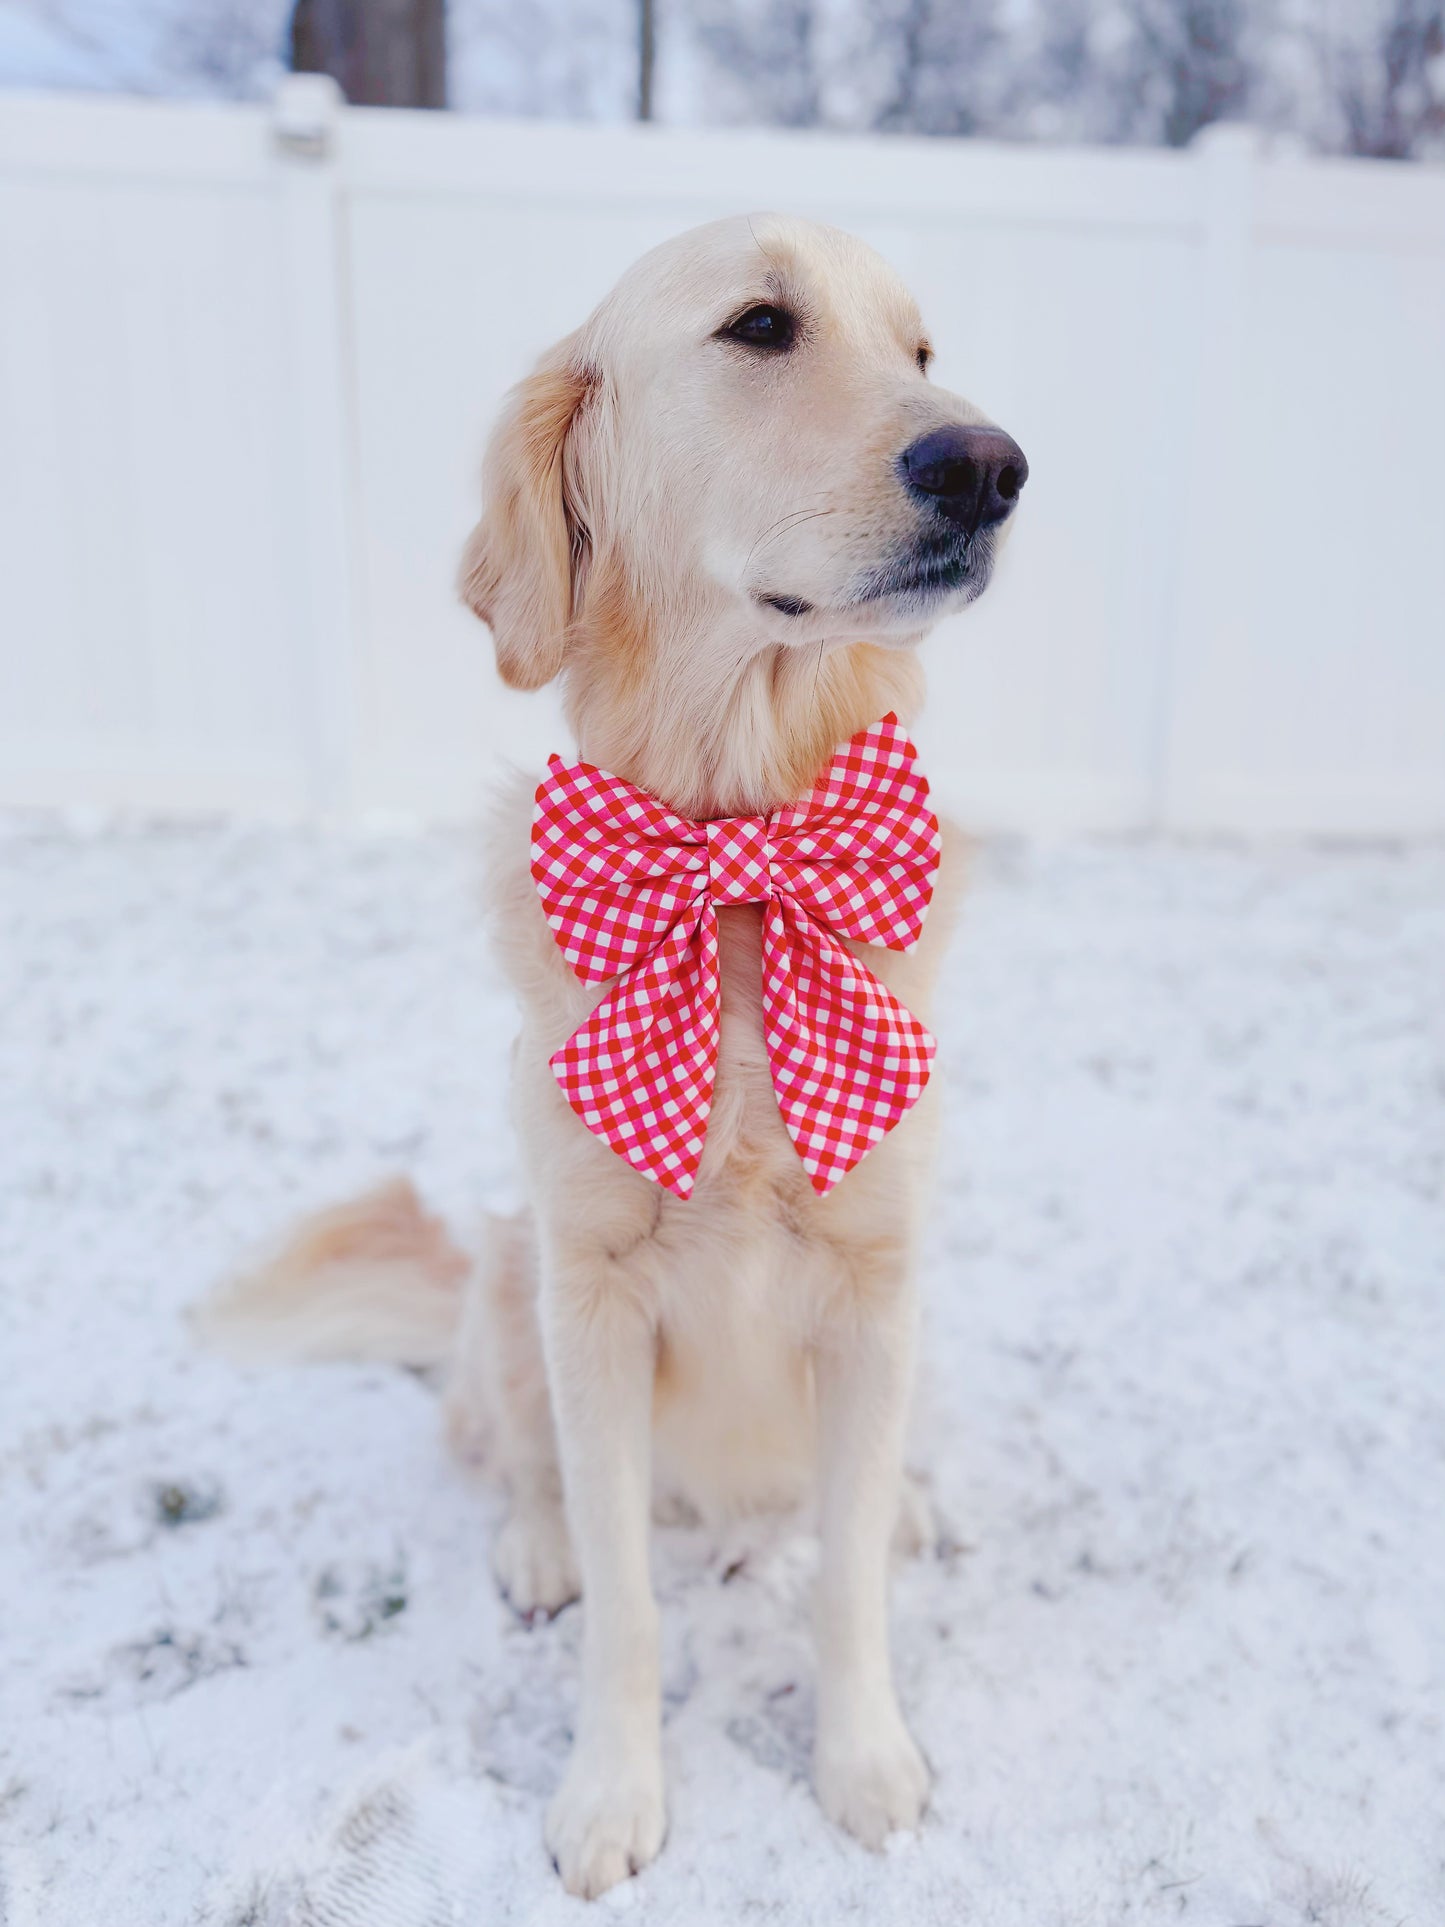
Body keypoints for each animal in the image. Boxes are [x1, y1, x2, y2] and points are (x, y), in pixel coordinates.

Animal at [209, 211, 1032, 1896]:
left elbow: (843, 1577)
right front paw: (609, 1796)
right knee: (514, 1458)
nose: (991, 464)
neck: (737, 879)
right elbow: (632, 1601)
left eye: (921, 348)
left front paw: (864, 1762)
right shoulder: (590, 1301)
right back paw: (533, 1546)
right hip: (508, 1286)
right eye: (761, 325)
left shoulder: (877, 1280)